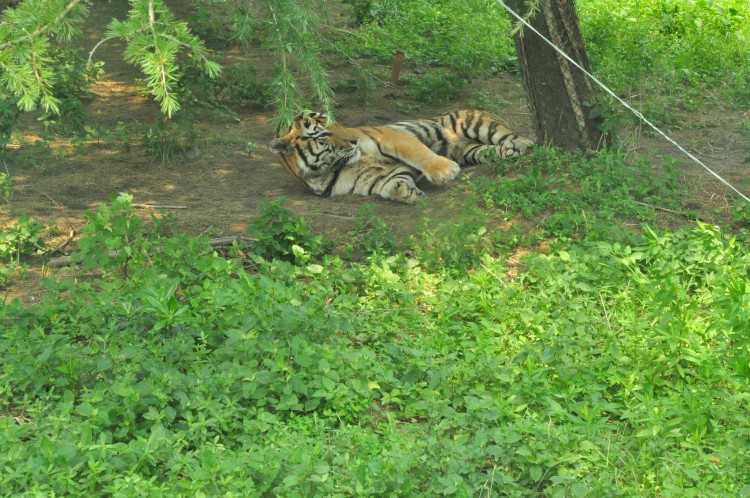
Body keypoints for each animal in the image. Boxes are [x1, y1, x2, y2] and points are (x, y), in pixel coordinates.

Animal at [270, 109, 536, 202]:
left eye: (333, 123)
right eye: (323, 134)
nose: (354, 138)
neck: (329, 167)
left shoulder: (389, 136)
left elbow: (417, 152)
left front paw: (444, 170)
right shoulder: (373, 178)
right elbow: (390, 184)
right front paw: (406, 192)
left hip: (472, 122)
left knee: (508, 134)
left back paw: (522, 144)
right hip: (469, 151)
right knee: (488, 151)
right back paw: (509, 151)